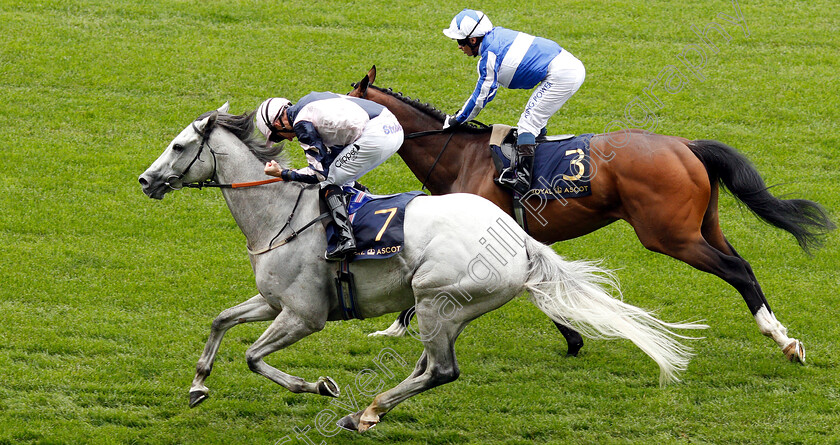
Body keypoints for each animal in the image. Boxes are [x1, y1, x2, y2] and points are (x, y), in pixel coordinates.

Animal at [138, 103, 704, 430]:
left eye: (180, 146)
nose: (145, 181)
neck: (280, 214)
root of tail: (520, 239)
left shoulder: (303, 315)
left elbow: (255, 358)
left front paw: (319, 386)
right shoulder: (273, 301)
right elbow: (220, 321)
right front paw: (198, 385)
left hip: (437, 298)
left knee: (442, 369)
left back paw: (364, 411)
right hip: (449, 310)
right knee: (429, 366)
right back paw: (371, 410)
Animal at [348, 67, 832, 364]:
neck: (460, 157)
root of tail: (686, 145)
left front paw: (392, 330)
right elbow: (540, 287)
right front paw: (574, 338)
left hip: (669, 235)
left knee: (736, 269)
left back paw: (779, 338)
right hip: (703, 227)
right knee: (744, 264)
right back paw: (786, 336)